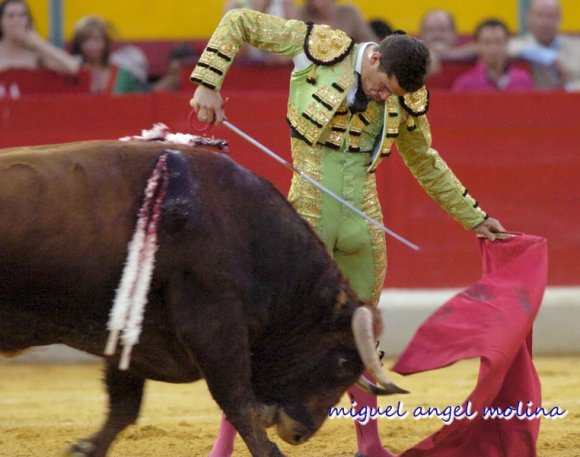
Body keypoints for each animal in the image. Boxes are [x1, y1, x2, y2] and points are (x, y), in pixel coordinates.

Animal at [0, 139, 404, 456]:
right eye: (342, 363)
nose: (298, 433)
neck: (250, 235)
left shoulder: (132, 334)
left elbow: (124, 408)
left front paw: (84, 448)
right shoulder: (213, 328)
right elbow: (241, 405)